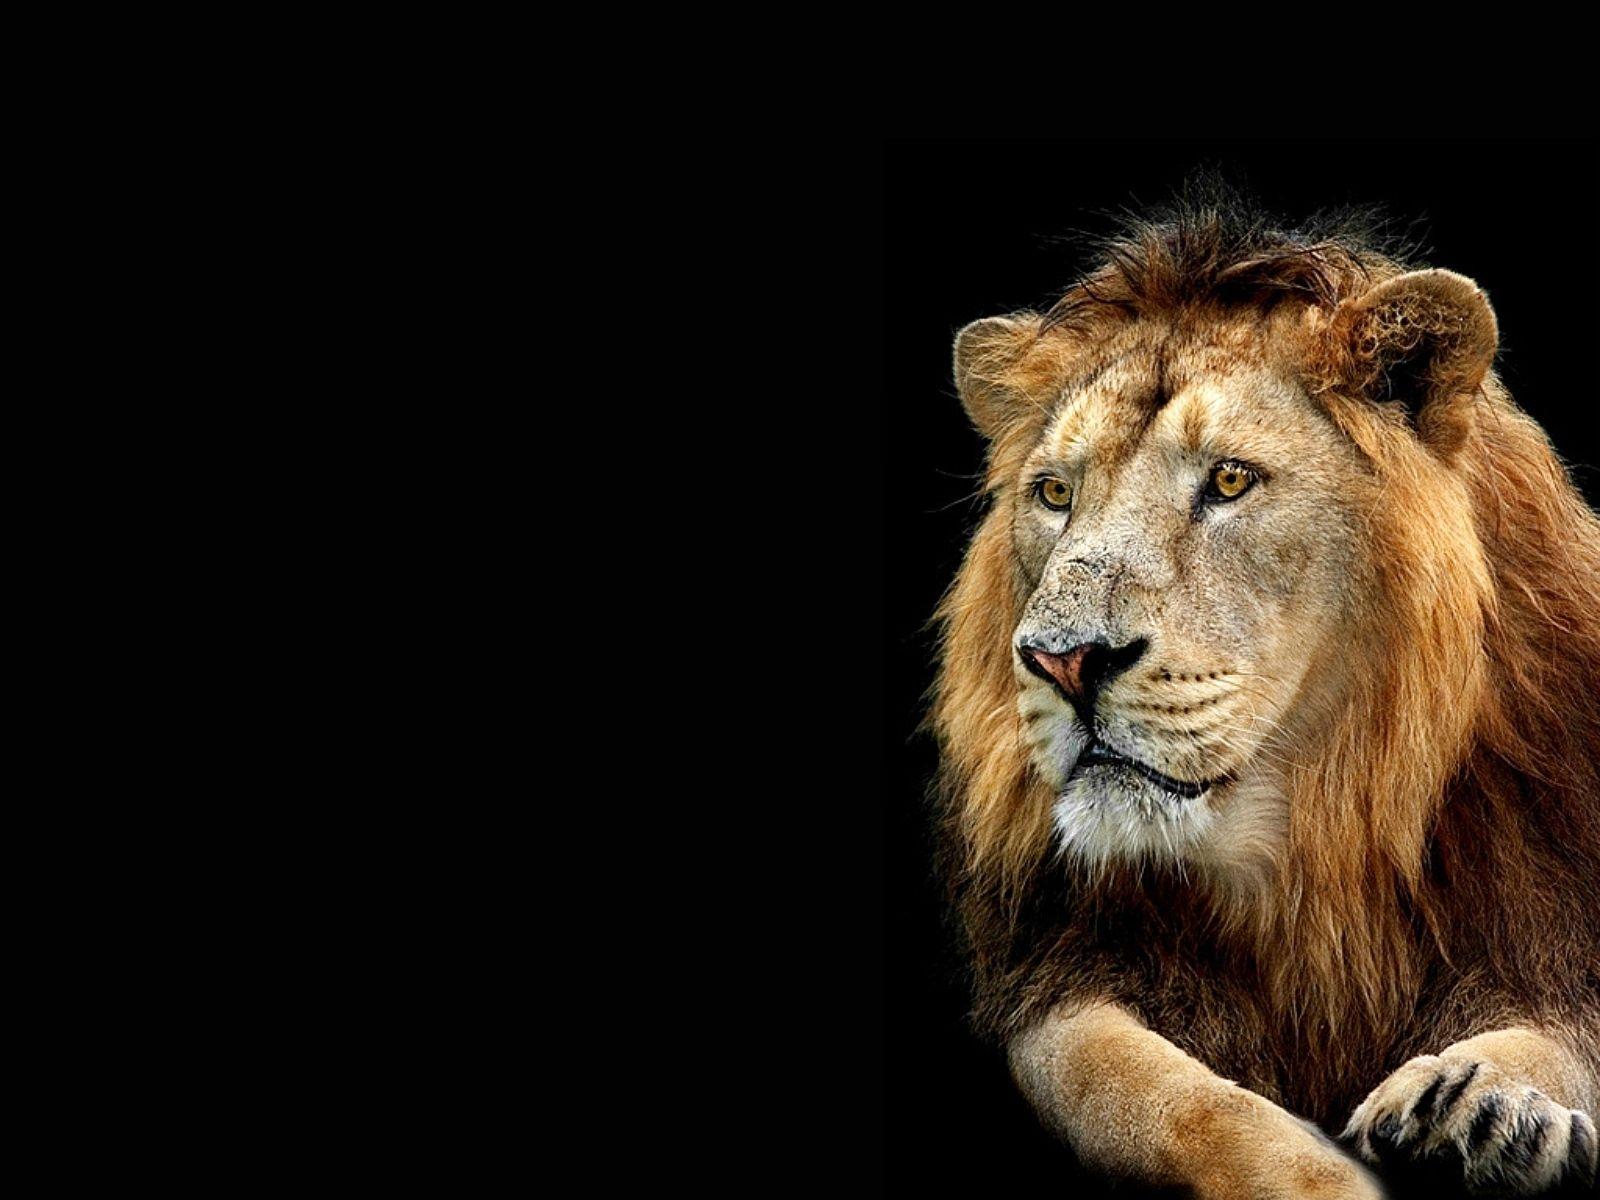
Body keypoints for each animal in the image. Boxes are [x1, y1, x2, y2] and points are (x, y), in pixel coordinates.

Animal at [931, 194, 1600, 1198]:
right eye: (1053, 493)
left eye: (1230, 479)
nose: (1063, 662)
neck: (1307, 840)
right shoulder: (1061, 970)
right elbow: (1162, 1097)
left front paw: (1479, 1107)